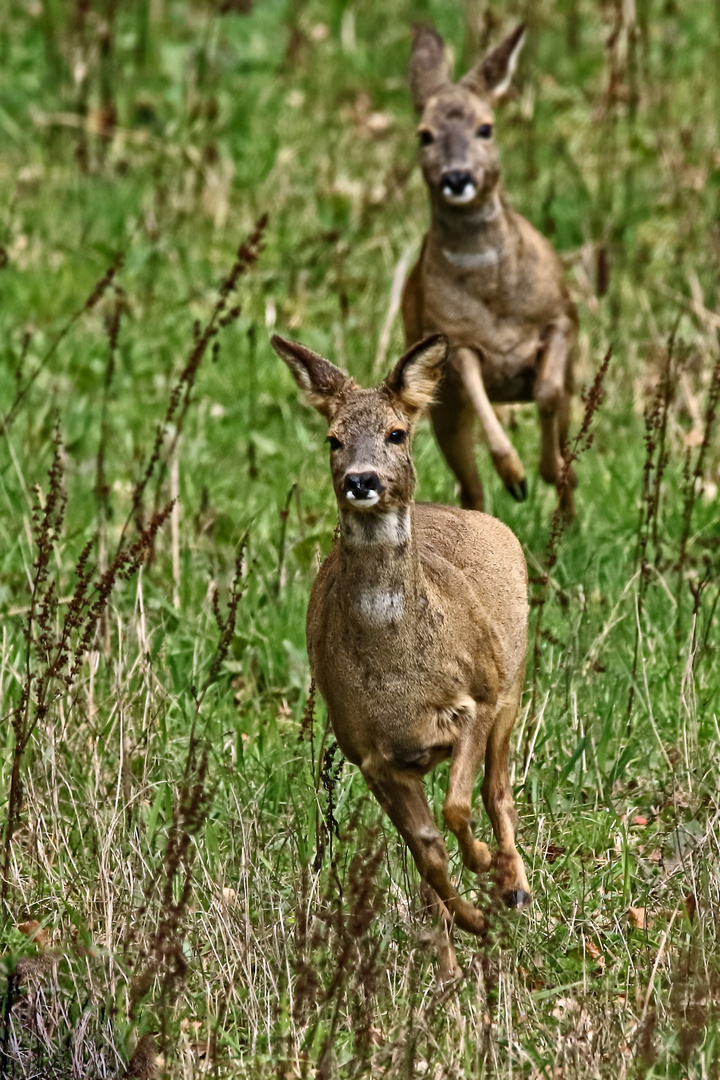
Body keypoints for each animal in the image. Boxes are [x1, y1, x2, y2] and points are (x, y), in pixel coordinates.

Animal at [273, 328, 533, 980]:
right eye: (333, 437)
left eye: (397, 433)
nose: (360, 479)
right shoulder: (370, 753)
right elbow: (428, 853)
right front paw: (468, 925)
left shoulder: (477, 699)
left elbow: (460, 807)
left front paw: (485, 866)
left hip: (513, 684)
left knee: (497, 788)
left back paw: (514, 883)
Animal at [405, 23, 578, 516]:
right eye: (425, 135)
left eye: (486, 127)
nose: (457, 177)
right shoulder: (457, 341)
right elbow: (487, 414)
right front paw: (517, 478)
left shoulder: (562, 318)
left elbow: (547, 392)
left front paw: (547, 471)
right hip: (440, 407)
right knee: (470, 487)